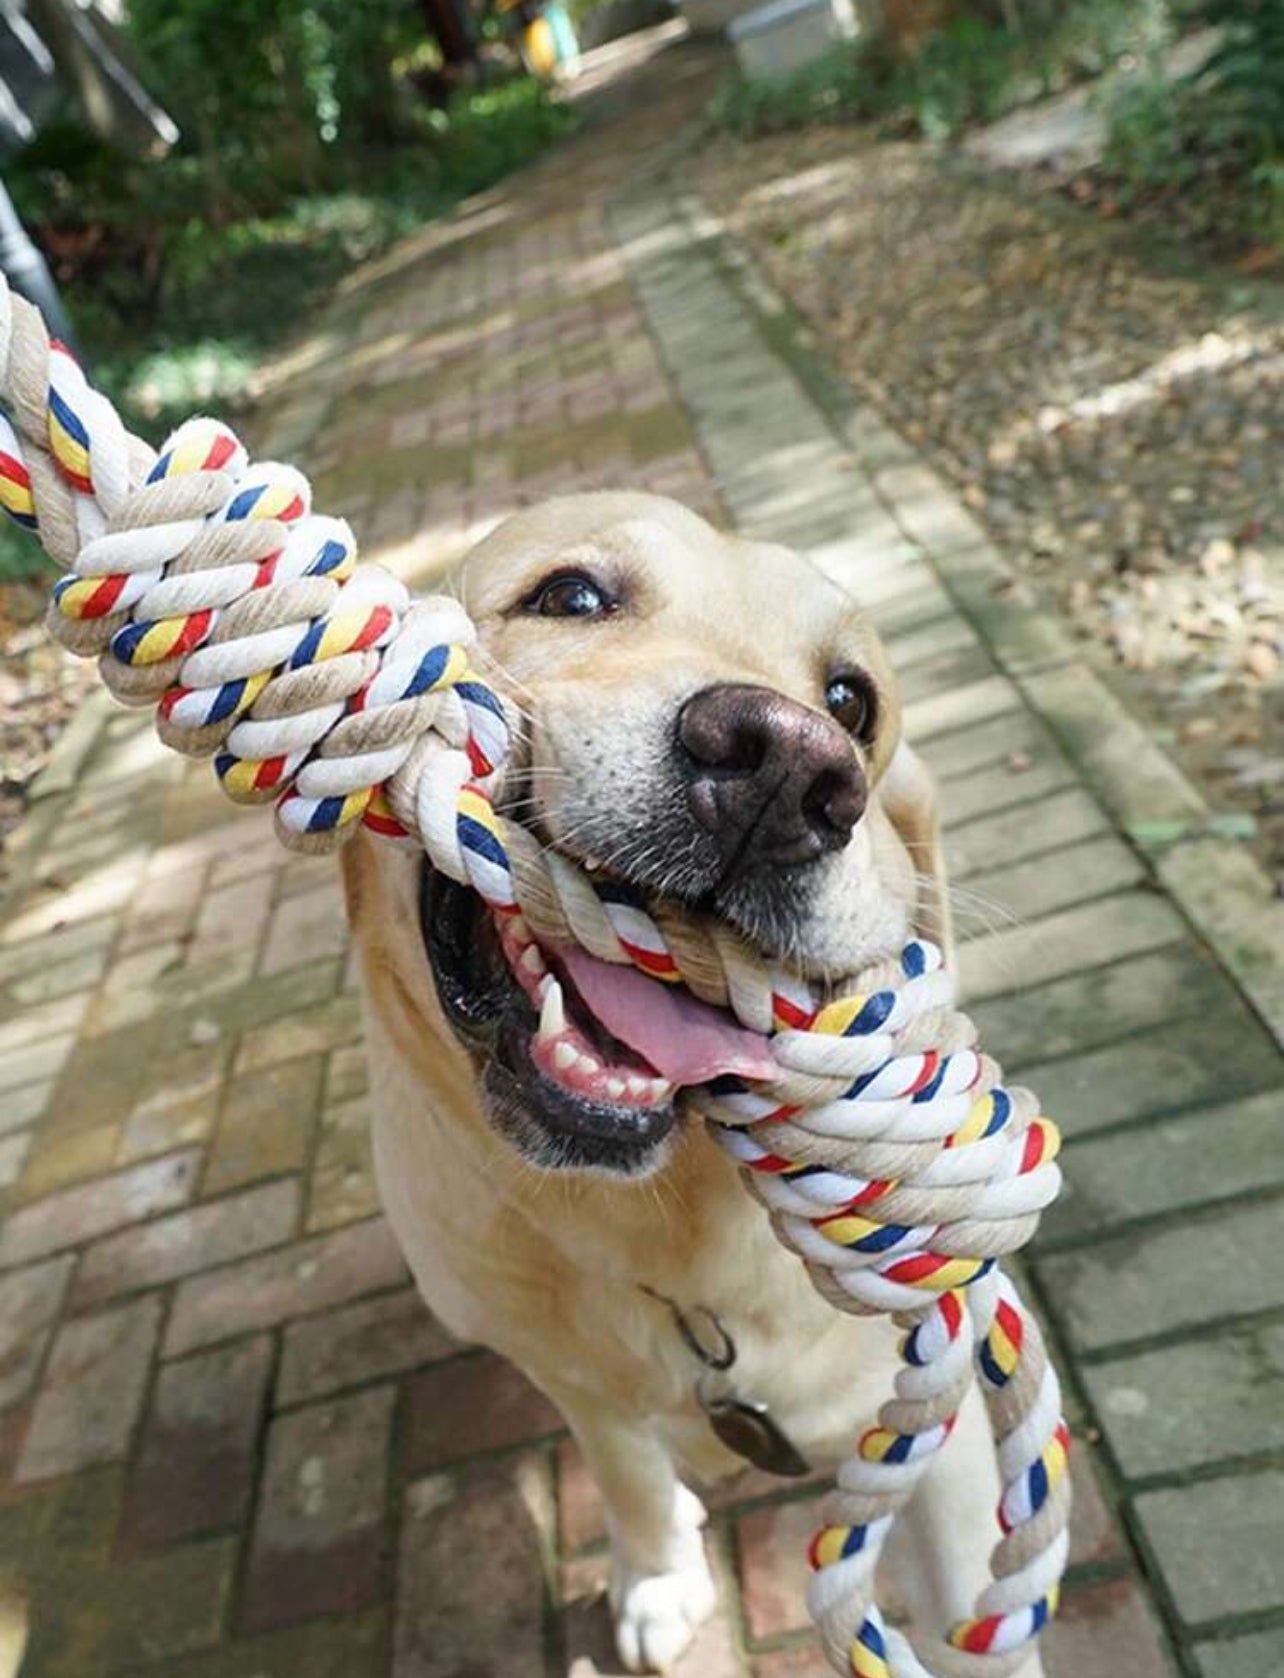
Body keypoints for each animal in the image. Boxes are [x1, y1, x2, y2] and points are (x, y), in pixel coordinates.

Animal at [342, 489, 1033, 1671]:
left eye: (850, 701)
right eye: (572, 595)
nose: (785, 767)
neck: (660, 1237)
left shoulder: (933, 1449)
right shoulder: (573, 1381)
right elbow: (626, 1469)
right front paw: (659, 1574)